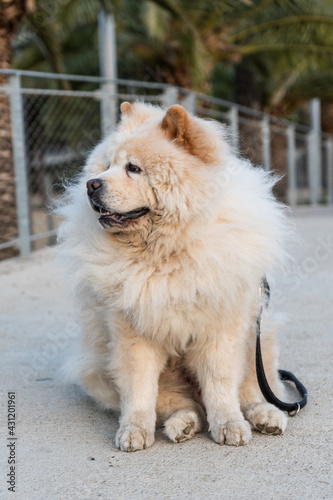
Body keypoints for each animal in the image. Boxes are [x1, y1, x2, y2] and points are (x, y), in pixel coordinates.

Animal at [59, 99, 290, 452]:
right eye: (107, 165)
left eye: (133, 168)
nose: (91, 184)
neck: (166, 252)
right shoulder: (132, 331)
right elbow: (139, 388)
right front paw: (133, 430)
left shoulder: (222, 329)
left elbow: (221, 384)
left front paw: (229, 425)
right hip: (101, 366)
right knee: (180, 405)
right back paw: (183, 424)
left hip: (259, 340)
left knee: (252, 389)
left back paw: (265, 416)